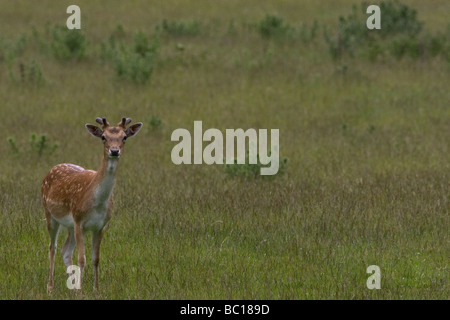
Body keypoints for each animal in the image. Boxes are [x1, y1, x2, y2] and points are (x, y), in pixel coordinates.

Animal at [41, 116, 142, 294]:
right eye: (103, 137)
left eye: (124, 137)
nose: (114, 151)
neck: (97, 202)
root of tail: (51, 170)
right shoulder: (79, 221)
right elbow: (82, 259)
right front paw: (81, 292)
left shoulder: (100, 226)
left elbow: (96, 259)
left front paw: (96, 290)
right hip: (50, 214)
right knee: (52, 247)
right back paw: (50, 287)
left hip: (70, 225)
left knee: (65, 251)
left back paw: (72, 287)